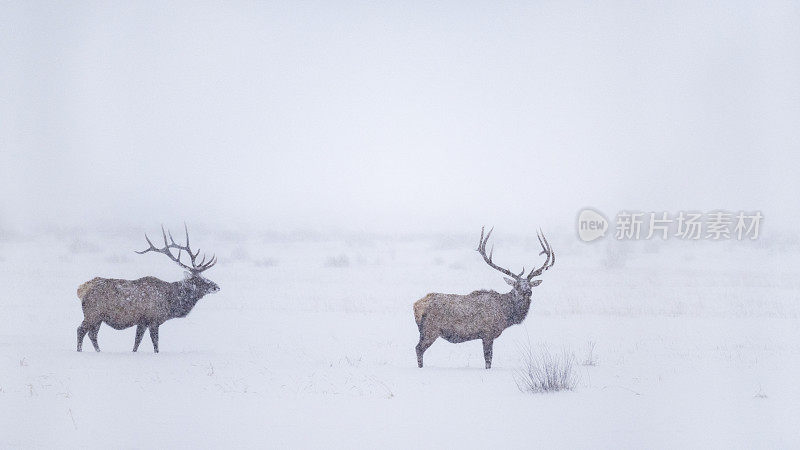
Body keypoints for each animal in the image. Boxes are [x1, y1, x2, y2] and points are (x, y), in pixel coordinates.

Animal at [76, 225, 219, 352]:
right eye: (200, 281)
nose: (216, 287)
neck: (171, 303)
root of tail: (82, 289)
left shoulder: (142, 322)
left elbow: (136, 343)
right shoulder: (153, 319)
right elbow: (155, 344)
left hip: (98, 318)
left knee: (92, 334)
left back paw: (98, 351)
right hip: (92, 314)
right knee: (81, 330)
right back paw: (81, 351)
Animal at [412, 229, 556, 370]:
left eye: (530, 284)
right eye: (516, 285)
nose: (528, 291)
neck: (506, 315)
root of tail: (416, 305)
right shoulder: (487, 332)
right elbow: (488, 359)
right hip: (430, 329)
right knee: (418, 348)